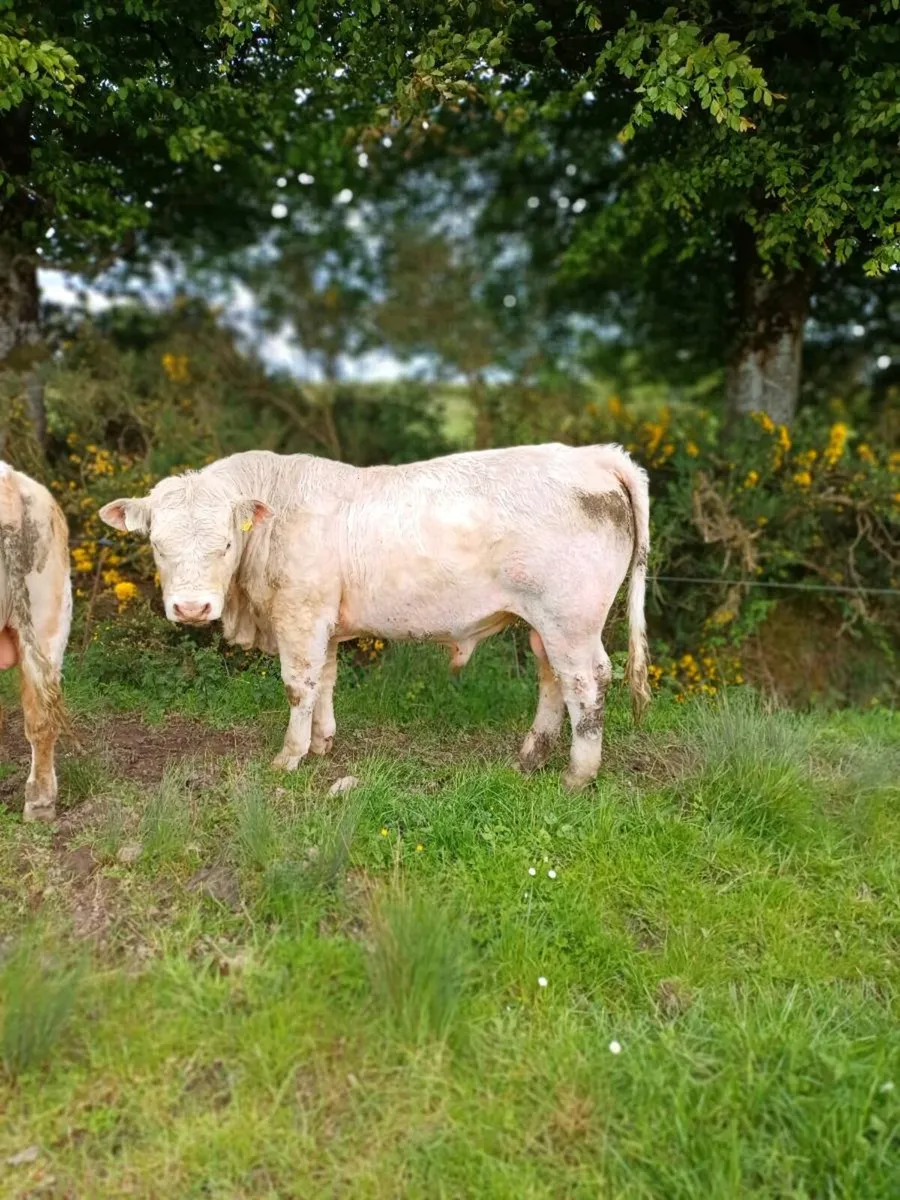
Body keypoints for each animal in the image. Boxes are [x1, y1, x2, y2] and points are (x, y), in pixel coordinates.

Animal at [99, 443, 650, 790]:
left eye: (226, 544)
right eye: (157, 545)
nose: (192, 607)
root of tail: (591, 455)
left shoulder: (299, 615)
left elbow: (297, 685)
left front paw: (290, 755)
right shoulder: (322, 620)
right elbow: (324, 679)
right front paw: (321, 743)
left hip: (570, 619)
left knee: (585, 682)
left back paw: (578, 774)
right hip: (544, 624)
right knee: (552, 677)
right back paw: (531, 756)